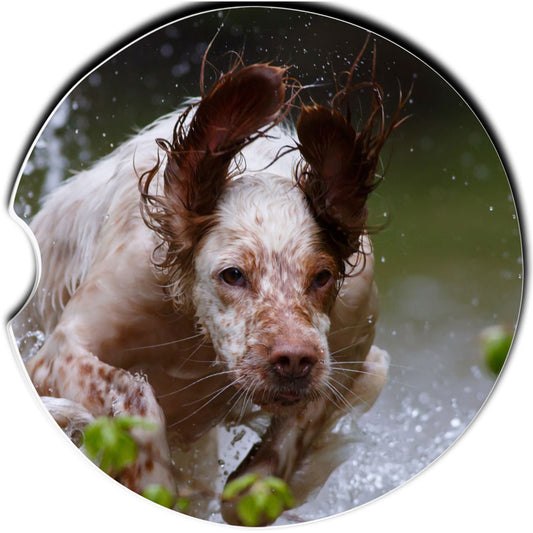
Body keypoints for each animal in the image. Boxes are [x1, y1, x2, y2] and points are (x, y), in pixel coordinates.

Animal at [14, 51, 406, 524]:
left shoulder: (353, 338)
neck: (196, 330)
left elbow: (256, 485)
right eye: (232, 275)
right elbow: (135, 396)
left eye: (321, 277)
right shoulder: (61, 350)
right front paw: (149, 477)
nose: (294, 360)